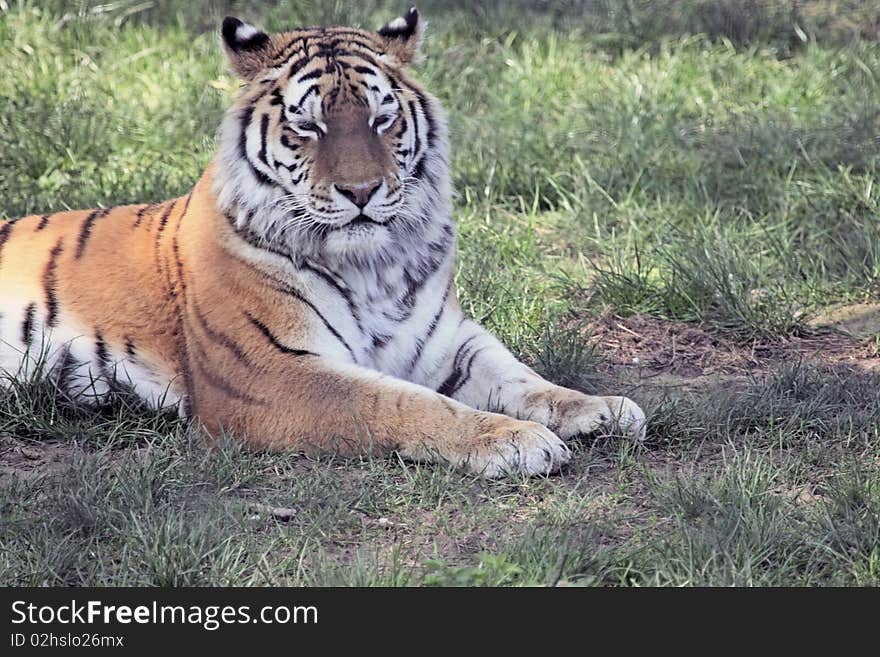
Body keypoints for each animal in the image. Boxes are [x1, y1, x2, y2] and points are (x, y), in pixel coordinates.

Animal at [0, 5, 648, 476]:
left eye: (381, 119)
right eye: (308, 125)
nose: (361, 190)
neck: (375, 264)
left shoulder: (447, 342)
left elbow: (521, 377)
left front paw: (600, 408)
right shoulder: (268, 374)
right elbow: (403, 402)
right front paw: (514, 440)